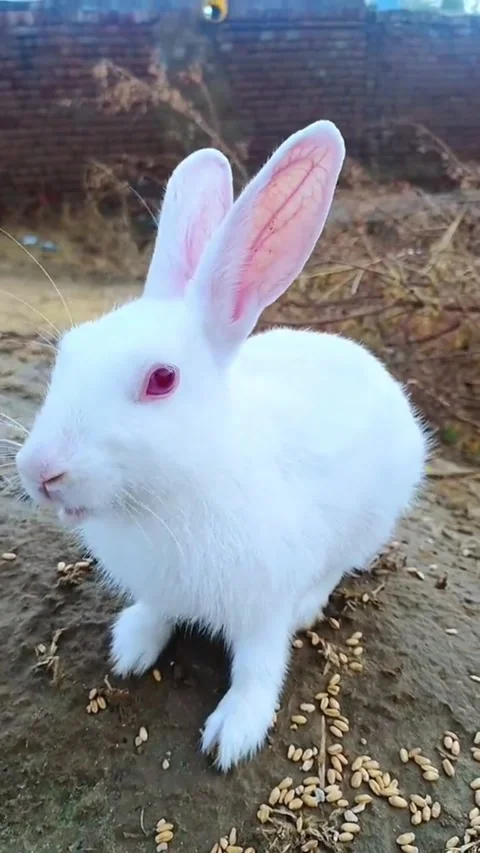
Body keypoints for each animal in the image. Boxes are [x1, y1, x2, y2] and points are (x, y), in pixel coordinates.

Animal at [16, 120, 428, 771]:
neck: (173, 492)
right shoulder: (159, 588)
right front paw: (130, 648)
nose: (39, 472)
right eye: (70, 351)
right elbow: (156, 614)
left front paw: (232, 734)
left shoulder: (263, 607)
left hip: (372, 521)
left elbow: (260, 668)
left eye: (163, 379)